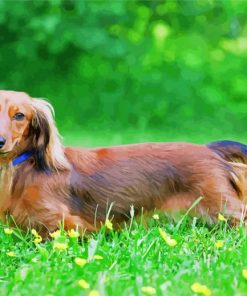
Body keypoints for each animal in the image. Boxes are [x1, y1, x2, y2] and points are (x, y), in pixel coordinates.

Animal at [0, 90, 247, 236]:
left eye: (19, 115)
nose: (0, 141)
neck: (25, 166)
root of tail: (209, 149)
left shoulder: (65, 223)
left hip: (222, 206)